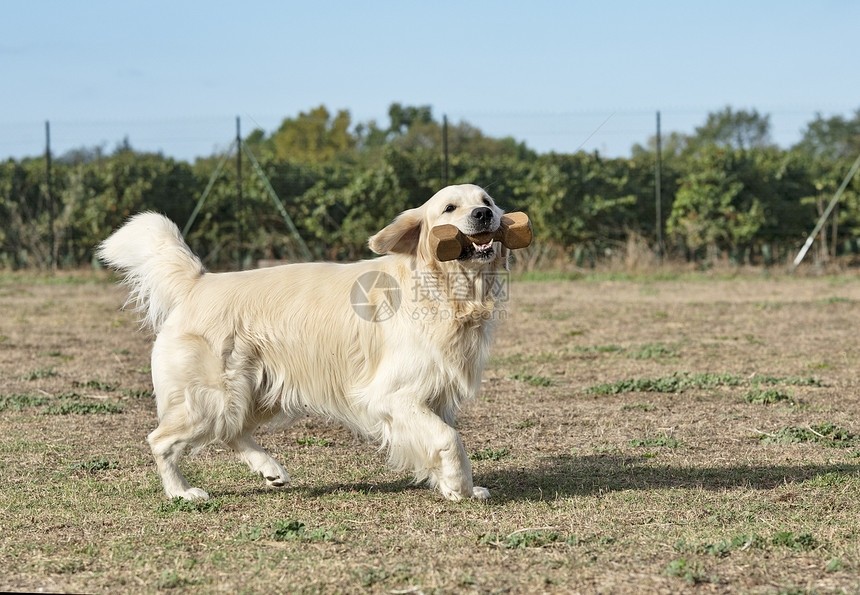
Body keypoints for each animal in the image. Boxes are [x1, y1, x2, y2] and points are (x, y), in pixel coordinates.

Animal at [99, 184, 510, 500]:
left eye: (487, 200)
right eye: (449, 208)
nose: (483, 215)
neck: (446, 291)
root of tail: (198, 282)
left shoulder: (435, 396)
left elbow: (440, 439)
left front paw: (455, 486)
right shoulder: (392, 396)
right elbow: (449, 439)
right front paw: (460, 486)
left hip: (256, 392)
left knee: (233, 433)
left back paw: (270, 469)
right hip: (212, 398)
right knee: (161, 440)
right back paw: (181, 492)